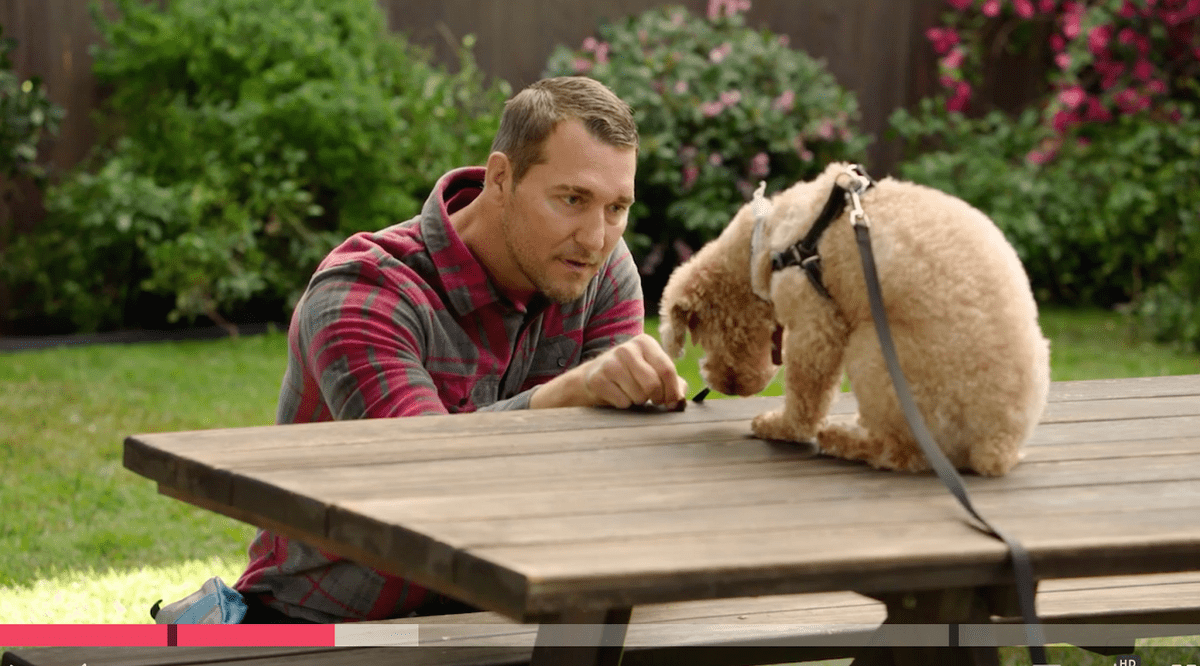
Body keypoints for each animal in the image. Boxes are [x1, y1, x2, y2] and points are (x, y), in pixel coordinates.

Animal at [662, 162, 1046, 477]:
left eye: (707, 339)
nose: (724, 386)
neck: (767, 242)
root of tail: (997, 446)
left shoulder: (815, 326)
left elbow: (805, 393)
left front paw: (782, 427)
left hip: (872, 348)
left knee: (901, 453)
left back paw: (842, 439)